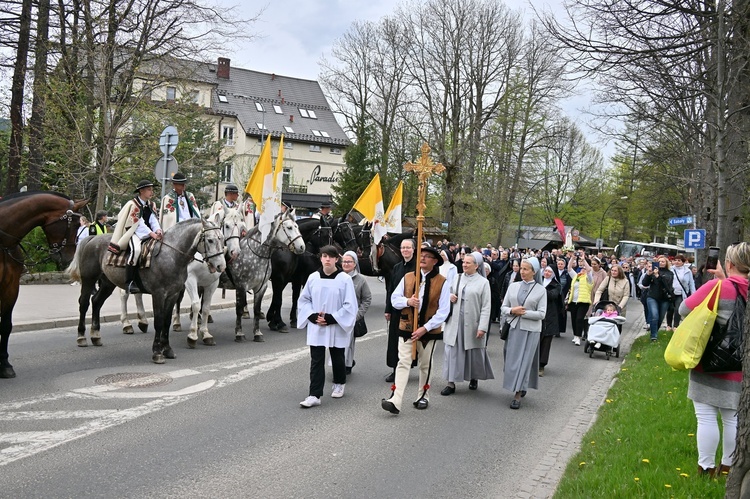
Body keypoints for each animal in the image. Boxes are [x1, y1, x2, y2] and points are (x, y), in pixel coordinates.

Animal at [0, 191, 89, 378]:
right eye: (75, 224)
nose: (69, 256)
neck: (2, 243)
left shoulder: (10, 287)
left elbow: (5, 326)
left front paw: (4, 364)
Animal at [67, 219, 226, 364]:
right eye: (210, 240)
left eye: (222, 238)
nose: (221, 266)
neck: (171, 255)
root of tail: (93, 238)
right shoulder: (158, 294)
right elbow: (159, 322)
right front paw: (157, 352)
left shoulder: (172, 295)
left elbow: (167, 322)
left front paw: (167, 349)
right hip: (89, 280)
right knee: (84, 304)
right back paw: (81, 337)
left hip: (107, 283)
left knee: (96, 302)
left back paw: (95, 335)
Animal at [234, 211, 306, 344]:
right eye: (289, 227)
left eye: (297, 227)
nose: (302, 247)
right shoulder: (280, 278)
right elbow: (279, 300)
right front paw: (279, 323)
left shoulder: (286, 279)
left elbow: (282, 298)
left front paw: (273, 320)